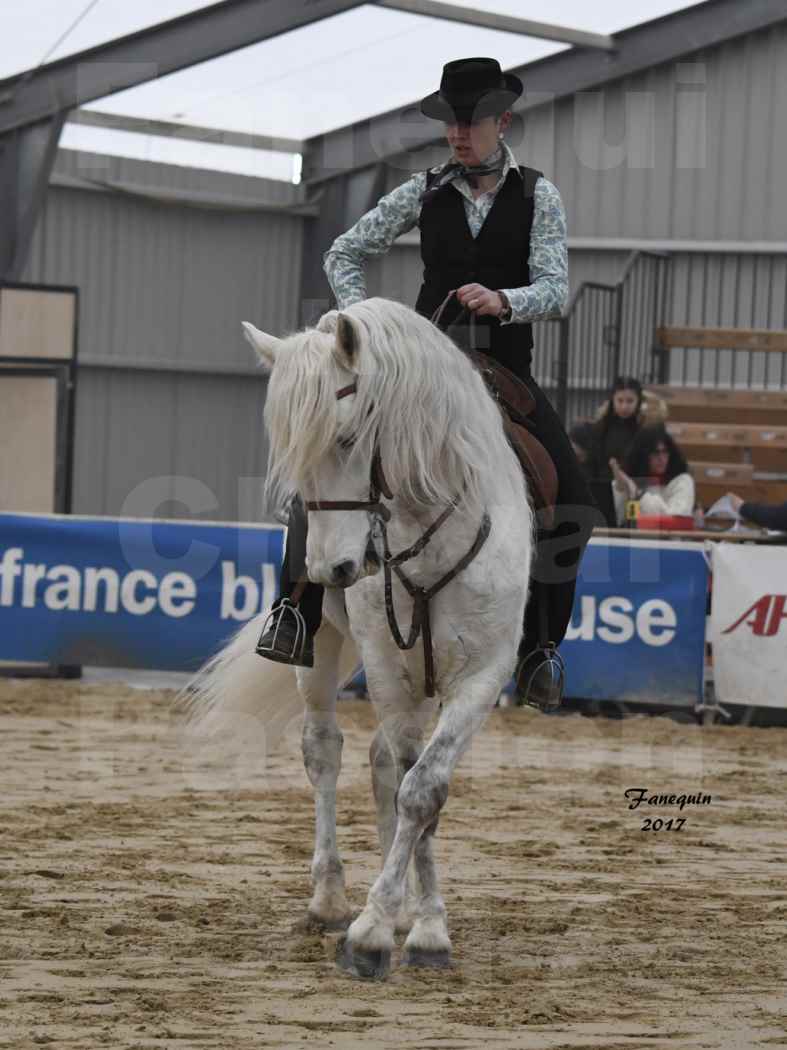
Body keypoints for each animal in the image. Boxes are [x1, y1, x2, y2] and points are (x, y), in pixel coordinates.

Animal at [189, 296, 537, 974]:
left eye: (348, 438)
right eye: (292, 453)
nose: (333, 569)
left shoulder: (480, 678)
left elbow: (422, 792)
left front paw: (414, 928)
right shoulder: (387, 668)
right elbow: (409, 787)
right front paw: (379, 929)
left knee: (383, 766)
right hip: (324, 648)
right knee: (325, 750)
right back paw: (329, 901)